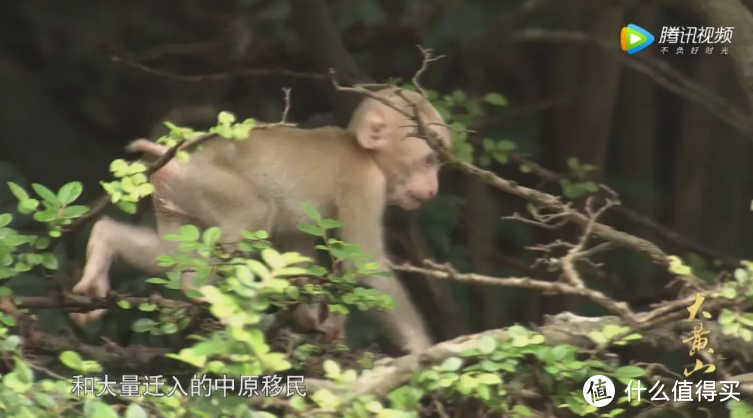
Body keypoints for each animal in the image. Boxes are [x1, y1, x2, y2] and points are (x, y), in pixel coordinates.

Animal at [70, 87, 450, 352]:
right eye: (429, 159)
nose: (433, 188)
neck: (362, 151)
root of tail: (177, 160)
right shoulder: (364, 183)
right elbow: (365, 265)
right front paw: (421, 350)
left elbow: (295, 252)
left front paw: (316, 321)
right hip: (205, 181)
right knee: (256, 211)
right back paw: (203, 292)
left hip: (175, 197)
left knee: (171, 253)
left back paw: (104, 245)